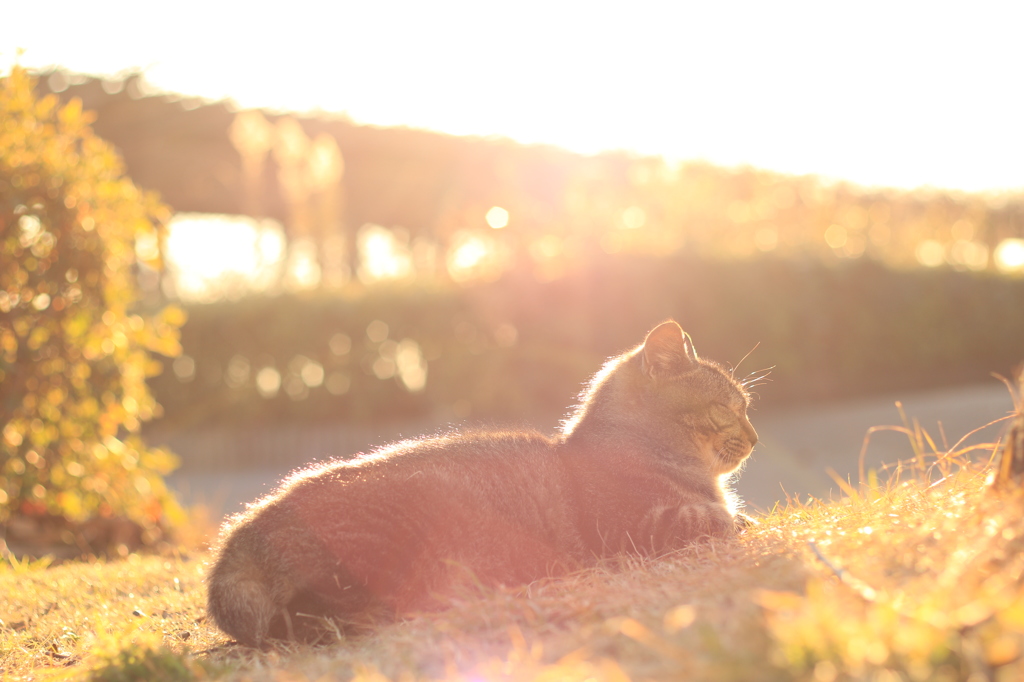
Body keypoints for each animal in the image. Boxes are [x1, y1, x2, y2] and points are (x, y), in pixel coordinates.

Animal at [203, 321, 757, 647]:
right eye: (730, 408)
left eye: (746, 407)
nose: (755, 437)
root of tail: (240, 537)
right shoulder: (635, 531)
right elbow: (712, 518)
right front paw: (730, 518)